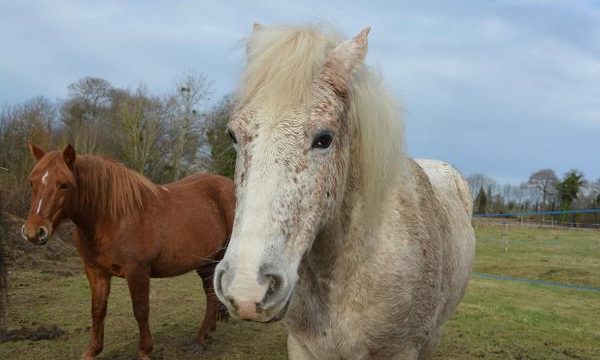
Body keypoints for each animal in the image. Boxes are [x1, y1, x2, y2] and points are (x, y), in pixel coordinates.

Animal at [21, 143, 233, 360]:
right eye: (32, 183)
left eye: (64, 184)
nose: (33, 232)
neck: (113, 218)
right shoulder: (96, 272)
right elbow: (97, 310)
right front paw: (92, 350)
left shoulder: (137, 271)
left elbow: (141, 310)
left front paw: (145, 351)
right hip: (206, 261)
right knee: (210, 292)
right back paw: (205, 335)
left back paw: (200, 338)